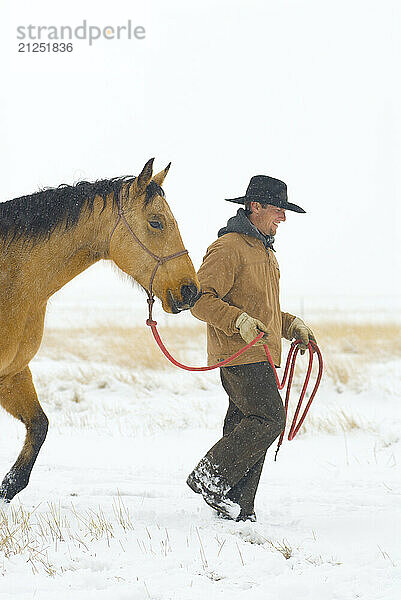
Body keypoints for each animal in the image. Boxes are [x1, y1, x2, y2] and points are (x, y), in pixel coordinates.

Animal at [0, 158, 200, 502]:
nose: (190, 290)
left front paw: (9, 487)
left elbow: (39, 427)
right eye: (156, 222)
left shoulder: (12, 374)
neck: (12, 283)